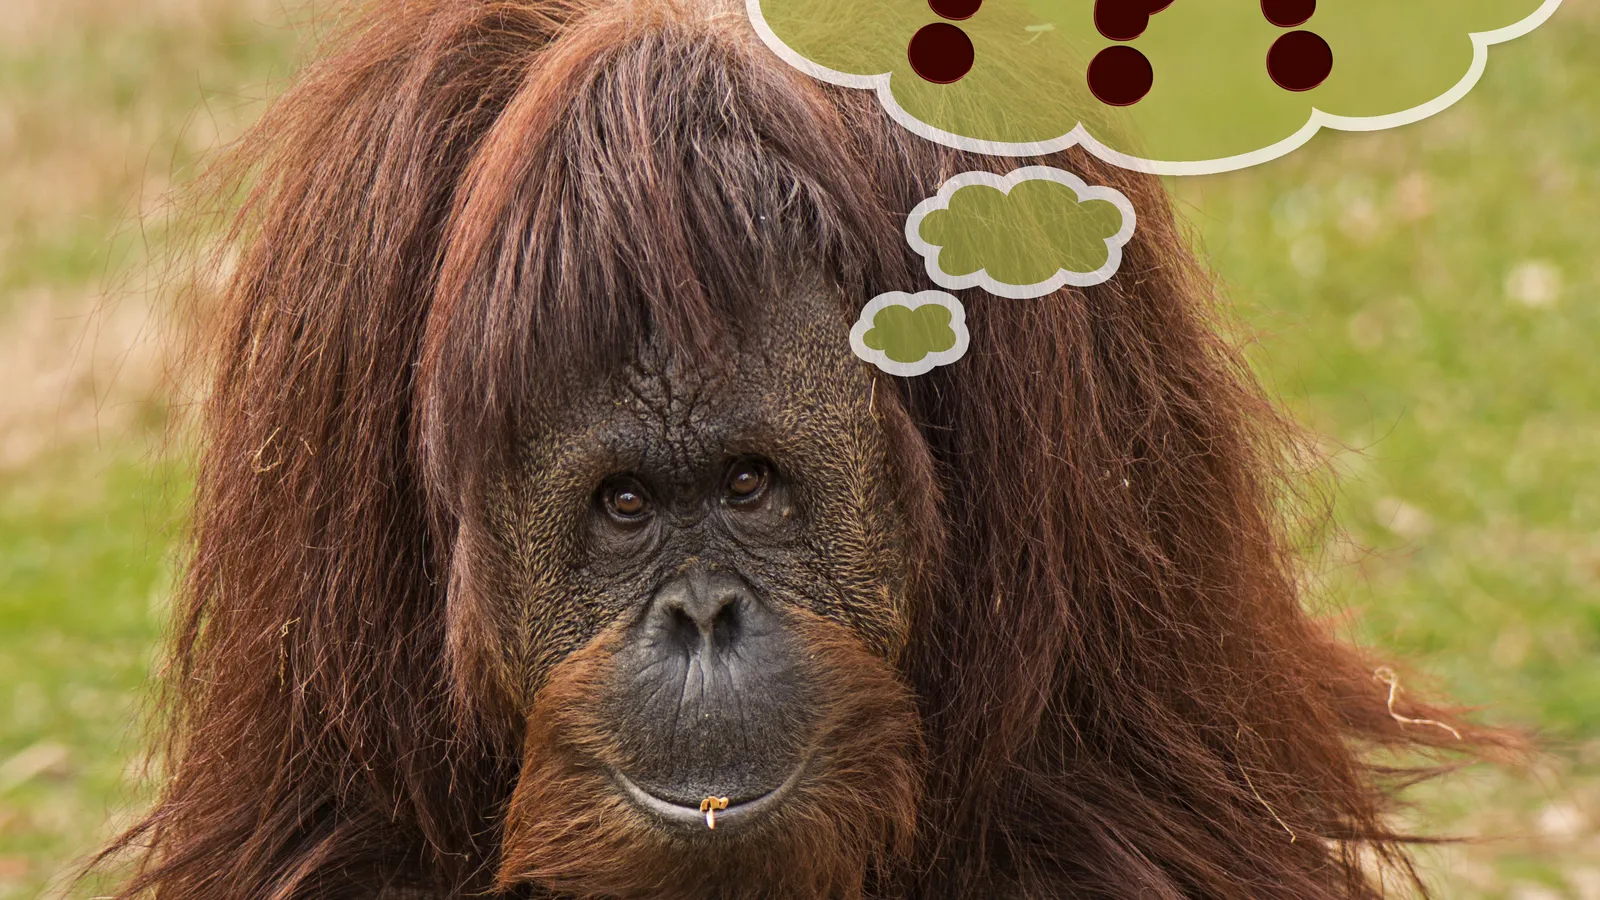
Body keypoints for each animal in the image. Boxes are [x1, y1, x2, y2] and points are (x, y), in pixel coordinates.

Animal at [94, 0, 1506, 897]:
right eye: (624, 505)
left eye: (748, 485)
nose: (703, 617)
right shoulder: (337, 327)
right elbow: (352, 823)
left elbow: (1124, 804)